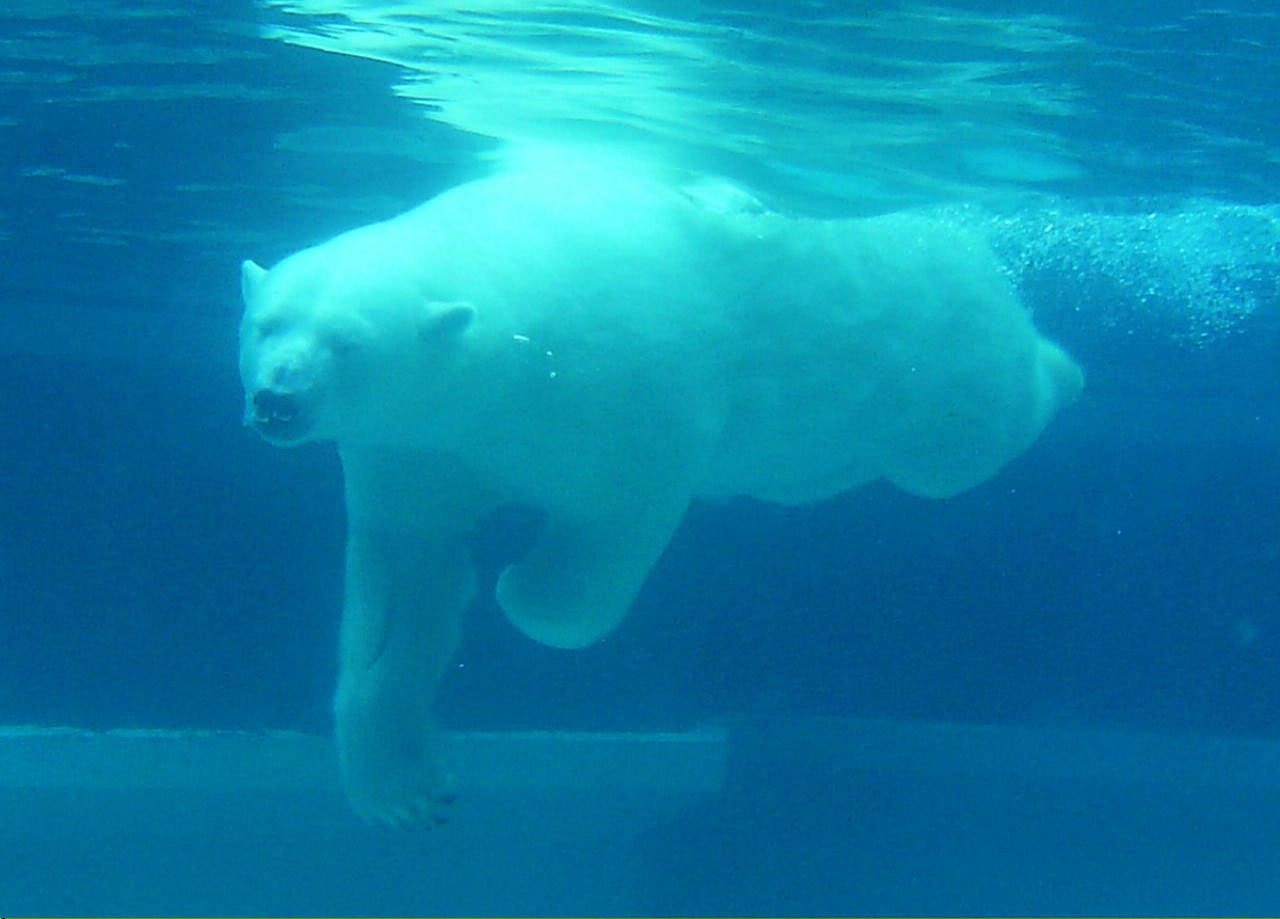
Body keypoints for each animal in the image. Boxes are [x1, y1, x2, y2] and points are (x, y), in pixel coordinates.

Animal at [240, 152, 1080, 829]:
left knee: (972, 434)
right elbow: (408, 585)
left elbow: (593, 551)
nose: (277, 401)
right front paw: (403, 789)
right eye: (266, 324)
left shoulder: (617, 391)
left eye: (349, 343)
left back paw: (1064, 369)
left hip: (937, 359)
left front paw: (519, 587)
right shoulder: (416, 448)